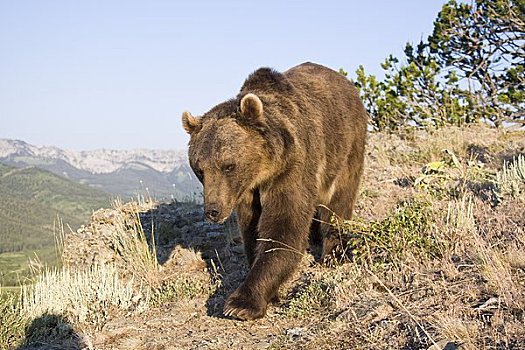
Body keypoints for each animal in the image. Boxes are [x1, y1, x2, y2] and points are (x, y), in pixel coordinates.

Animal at [182, 63, 366, 320]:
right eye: (200, 169)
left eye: (228, 165)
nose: (213, 210)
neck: (263, 171)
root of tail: (345, 82)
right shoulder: (247, 192)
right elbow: (252, 230)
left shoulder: (292, 168)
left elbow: (283, 226)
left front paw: (241, 303)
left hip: (346, 146)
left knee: (338, 201)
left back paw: (333, 253)